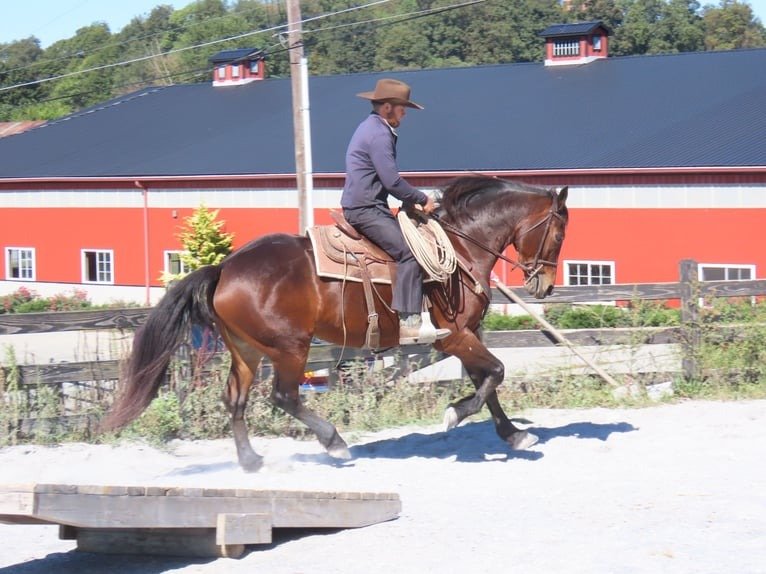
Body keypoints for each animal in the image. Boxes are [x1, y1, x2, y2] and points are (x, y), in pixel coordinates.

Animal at [102, 175, 569, 472]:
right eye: (560, 233)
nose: (543, 284)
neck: (459, 245)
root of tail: (225, 268)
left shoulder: (467, 335)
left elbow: (487, 381)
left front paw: (513, 435)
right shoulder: (453, 336)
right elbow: (495, 372)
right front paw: (455, 414)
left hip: (247, 350)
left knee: (235, 399)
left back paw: (251, 461)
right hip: (290, 347)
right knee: (284, 395)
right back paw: (335, 443)